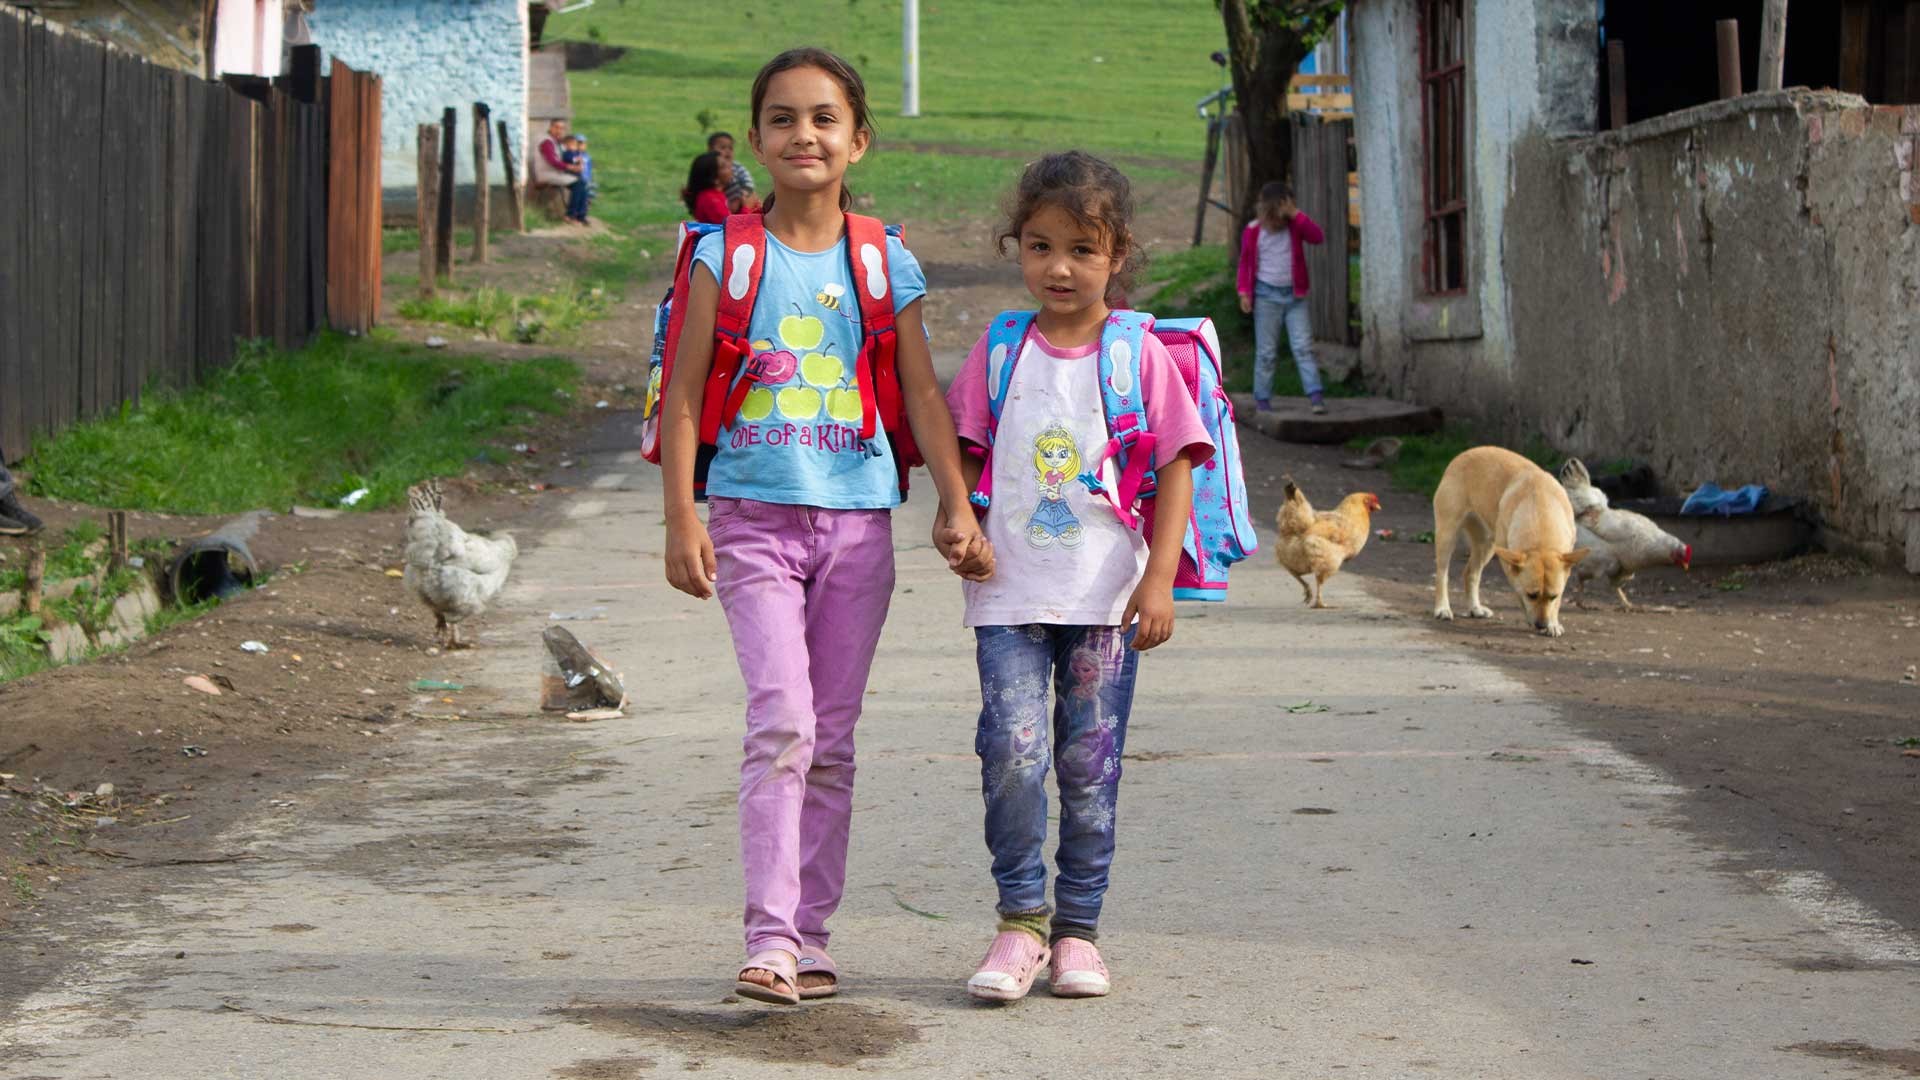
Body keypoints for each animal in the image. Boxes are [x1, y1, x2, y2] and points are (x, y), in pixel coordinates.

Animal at [1428, 443, 1589, 634]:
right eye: (1531, 595)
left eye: (1553, 596)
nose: (1542, 625)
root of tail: (1464, 454)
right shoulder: (1510, 565)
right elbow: (1518, 592)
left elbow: (1558, 601)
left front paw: (1554, 624)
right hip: (1448, 535)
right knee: (1442, 574)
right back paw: (1442, 608)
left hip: (1487, 545)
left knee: (1471, 573)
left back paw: (1475, 608)